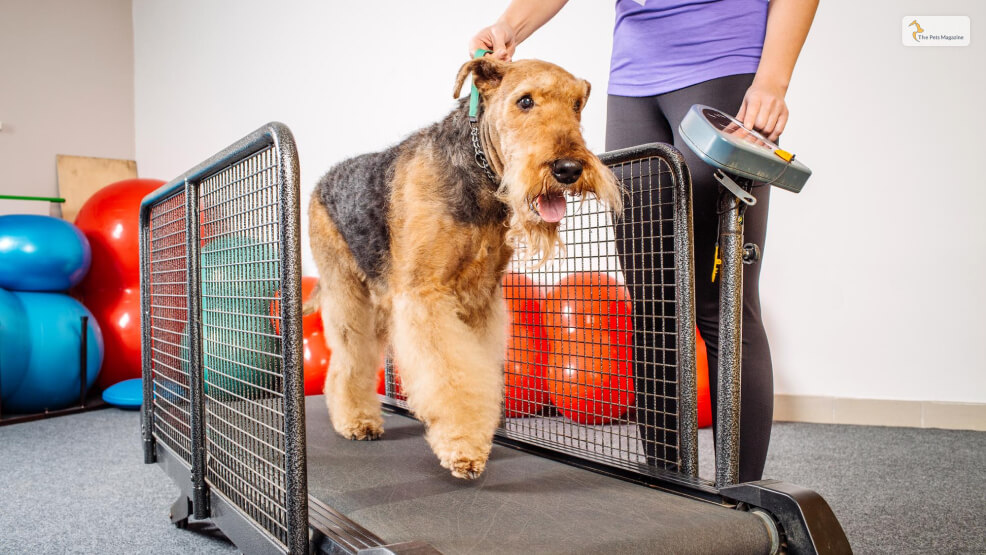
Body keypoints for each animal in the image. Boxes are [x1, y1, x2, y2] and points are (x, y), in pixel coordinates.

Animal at [304, 57, 620, 482]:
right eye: (525, 101)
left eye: (576, 106)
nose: (568, 168)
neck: (479, 173)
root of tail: (323, 182)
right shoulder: (425, 295)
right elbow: (451, 375)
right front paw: (463, 450)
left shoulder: (479, 300)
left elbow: (476, 374)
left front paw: (475, 440)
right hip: (348, 293)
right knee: (348, 359)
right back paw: (356, 421)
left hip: (383, 297)